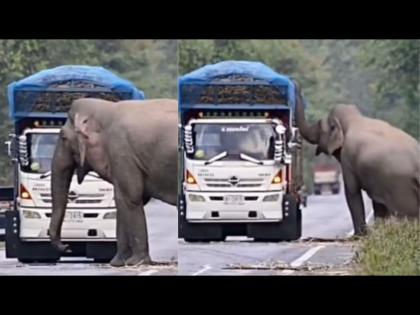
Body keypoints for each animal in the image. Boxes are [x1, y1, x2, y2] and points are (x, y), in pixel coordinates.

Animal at [48, 99, 177, 266]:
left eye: (63, 137)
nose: (67, 246)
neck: (107, 108)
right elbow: (121, 200)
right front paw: (116, 263)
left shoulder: (122, 152)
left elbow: (130, 198)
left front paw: (135, 262)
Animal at [294, 80, 418, 236]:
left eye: (319, 125)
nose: (295, 84)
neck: (355, 118)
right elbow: (377, 202)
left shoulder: (348, 157)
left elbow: (352, 192)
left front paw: (359, 236)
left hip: (400, 187)